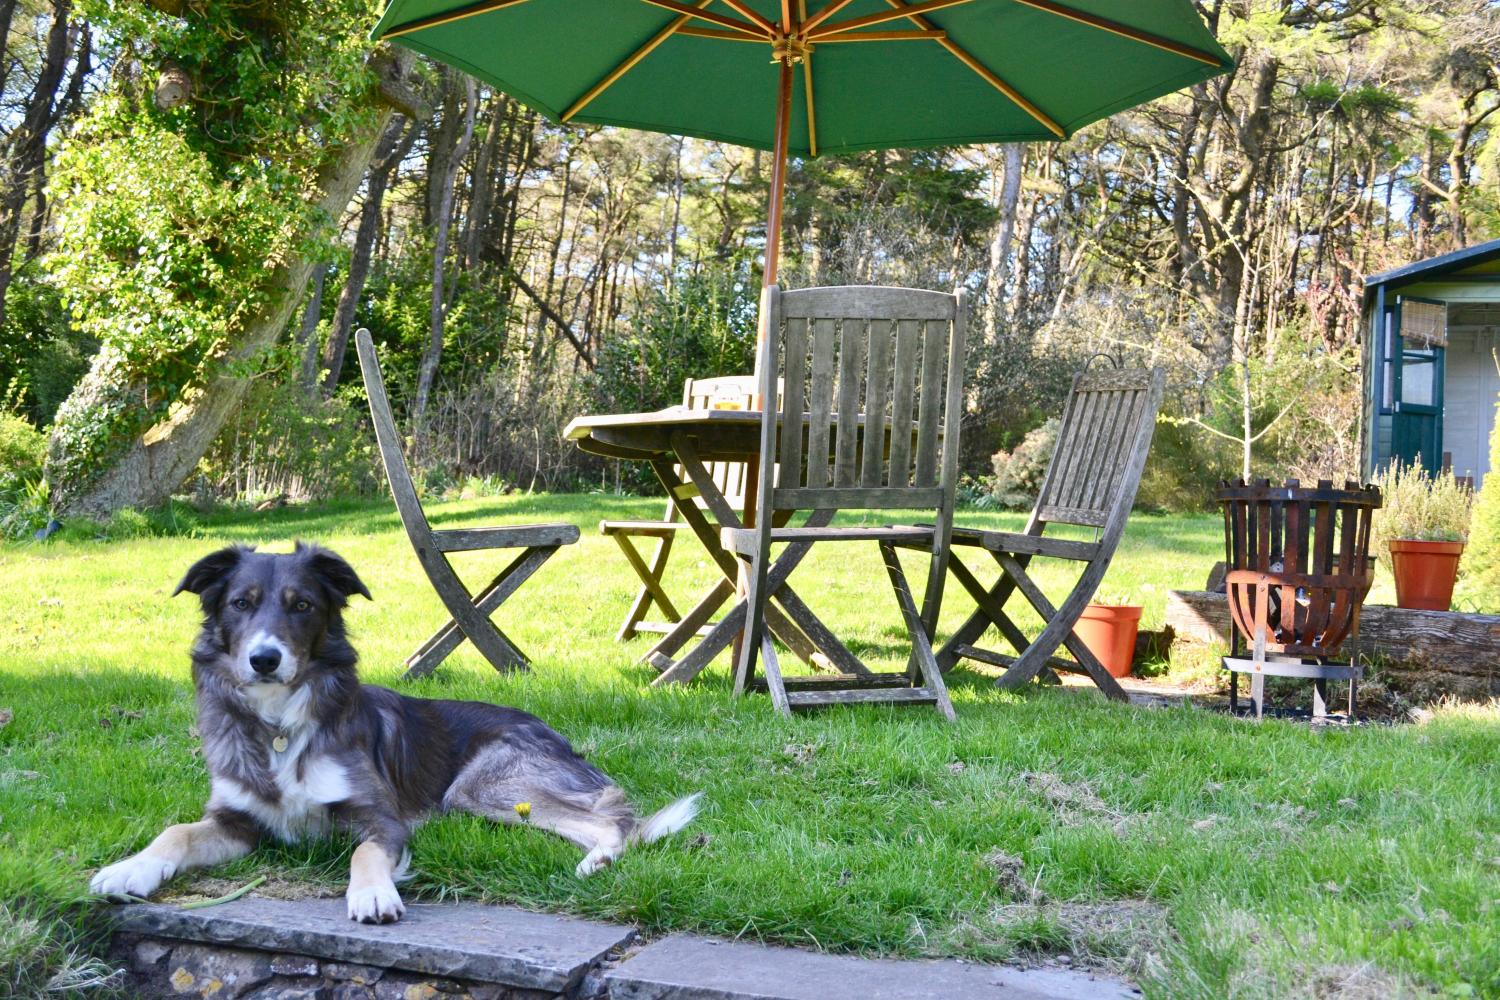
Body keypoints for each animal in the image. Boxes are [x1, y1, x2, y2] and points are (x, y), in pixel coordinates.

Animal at [90, 542, 699, 929]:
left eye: (302, 606)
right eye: (240, 603)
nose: (265, 660)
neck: (281, 726)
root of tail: (549, 730)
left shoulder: (381, 818)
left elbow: (364, 852)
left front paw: (373, 893)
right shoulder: (237, 822)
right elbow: (175, 832)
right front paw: (129, 869)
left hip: (482, 786)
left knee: (615, 820)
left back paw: (598, 862)